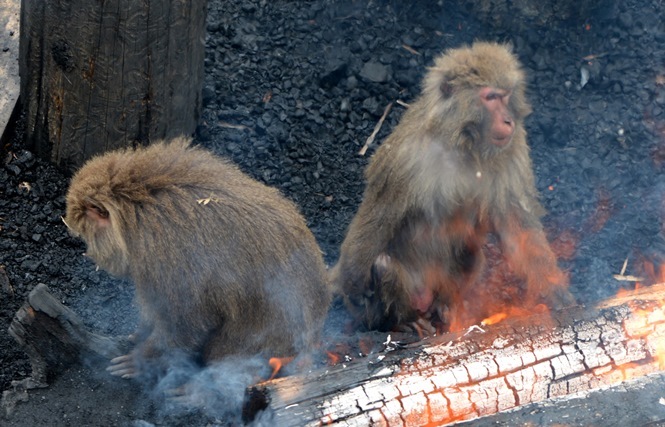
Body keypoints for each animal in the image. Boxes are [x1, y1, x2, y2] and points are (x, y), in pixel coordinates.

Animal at [65, 139, 330, 380]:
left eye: (85, 234)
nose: (90, 253)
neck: (137, 207)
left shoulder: (165, 253)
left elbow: (188, 320)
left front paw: (143, 360)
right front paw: (141, 334)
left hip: (268, 344)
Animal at [332, 41, 576, 334]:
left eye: (506, 96)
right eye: (490, 97)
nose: (508, 120)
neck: (464, 144)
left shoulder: (512, 146)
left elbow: (516, 226)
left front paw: (554, 289)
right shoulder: (405, 156)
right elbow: (379, 214)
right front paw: (352, 285)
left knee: (469, 250)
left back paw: (447, 306)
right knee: (382, 264)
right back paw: (404, 321)